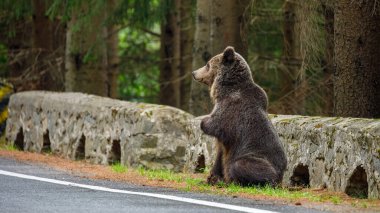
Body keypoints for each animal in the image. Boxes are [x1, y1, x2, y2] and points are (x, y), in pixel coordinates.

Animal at [193, 46, 284, 186]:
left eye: (207, 64)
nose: (194, 72)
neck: (223, 89)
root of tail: (281, 176)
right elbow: (220, 153)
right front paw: (212, 177)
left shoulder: (231, 108)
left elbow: (216, 125)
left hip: (256, 158)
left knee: (240, 164)